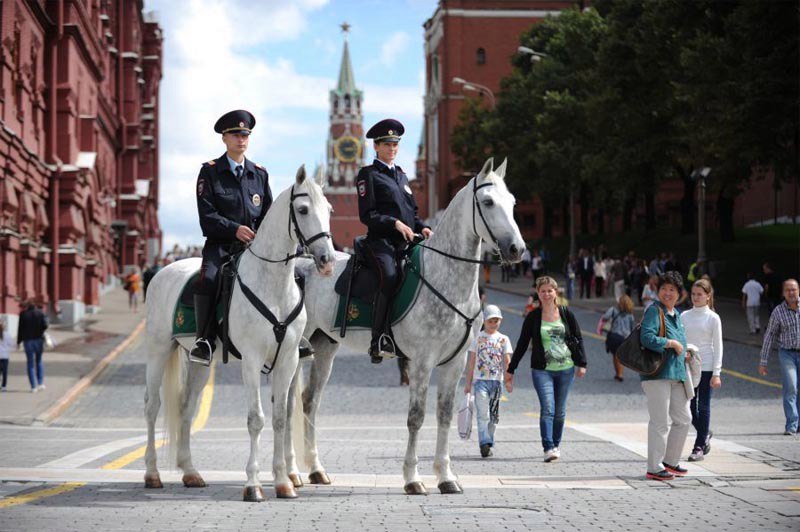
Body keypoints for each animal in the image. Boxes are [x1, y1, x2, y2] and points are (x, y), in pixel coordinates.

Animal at [142, 167, 332, 502]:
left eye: (330, 210)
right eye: (303, 209)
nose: (326, 260)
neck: (273, 286)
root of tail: (162, 272)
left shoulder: (288, 361)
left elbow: (280, 418)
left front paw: (283, 481)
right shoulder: (252, 361)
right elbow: (256, 419)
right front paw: (253, 485)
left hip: (198, 364)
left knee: (186, 408)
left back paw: (190, 472)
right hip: (158, 351)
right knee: (153, 407)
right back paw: (152, 474)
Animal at [294, 157, 524, 494]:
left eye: (513, 202)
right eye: (488, 202)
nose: (517, 249)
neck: (445, 277)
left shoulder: (455, 362)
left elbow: (444, 415)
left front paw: (446, 476)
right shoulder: (421, 362)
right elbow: (416, 417)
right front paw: (413, 478)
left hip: (324, 346)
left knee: (309, 401)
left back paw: (315, 470)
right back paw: (291, 473)